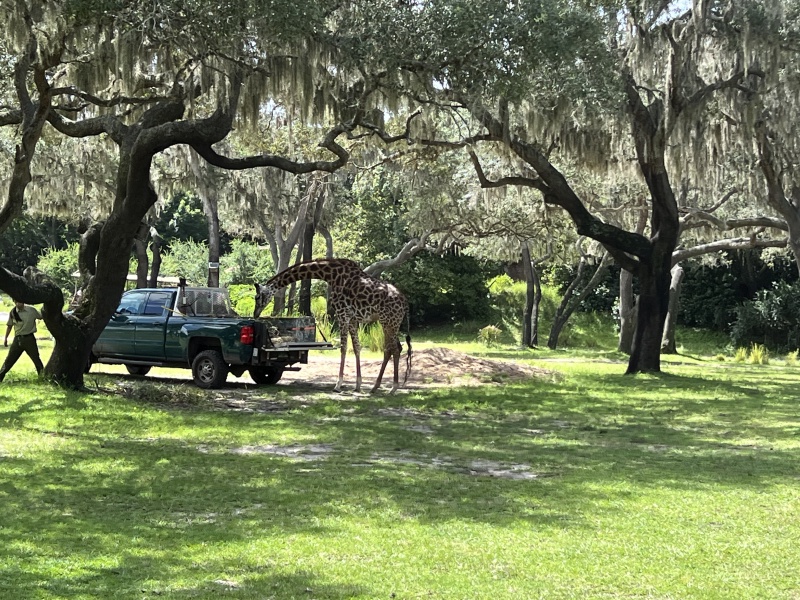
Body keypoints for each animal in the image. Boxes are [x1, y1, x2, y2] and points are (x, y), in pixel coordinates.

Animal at [254, 258, 411, 393]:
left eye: (258, 297)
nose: (255, 313)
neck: (330, 275)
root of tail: (405, 303)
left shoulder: (342, 314)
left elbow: (343, 348)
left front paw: (338, 384)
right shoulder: (352, 318)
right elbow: (356, 347)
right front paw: (357, 385)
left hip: (388, 321)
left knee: (393, 349)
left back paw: (392, 387)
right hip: (391, 323)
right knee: (394, 348)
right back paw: (377, 386)